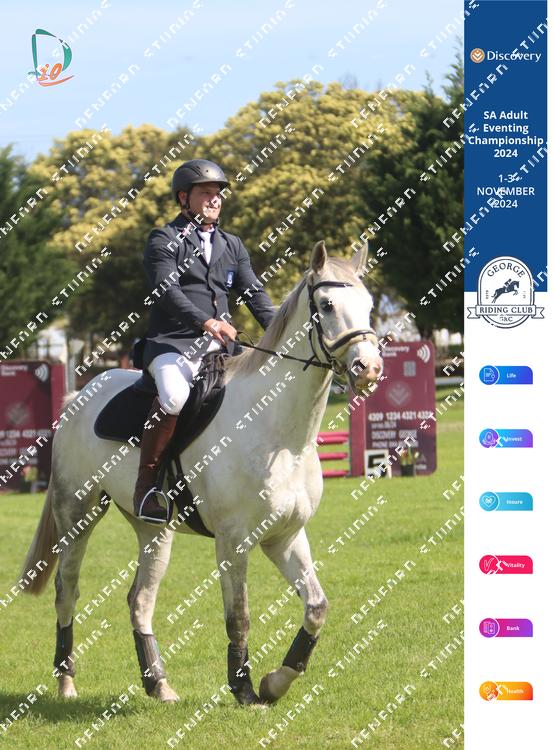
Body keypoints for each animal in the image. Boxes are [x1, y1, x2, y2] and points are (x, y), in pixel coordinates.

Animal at [21, 240, 383, 706]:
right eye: (327, 305)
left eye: (370, 305)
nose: (368, 368)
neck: (279, 435)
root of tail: (80, 394)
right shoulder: (234, 542)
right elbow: (239, 616)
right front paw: (244, 689)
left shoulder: (286, 536)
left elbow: (317, 608)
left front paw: (275, 682)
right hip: (76, 514)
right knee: (67, 593)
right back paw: (67, 683)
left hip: (153, 530)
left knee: (140, 599)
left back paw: (158, 684)